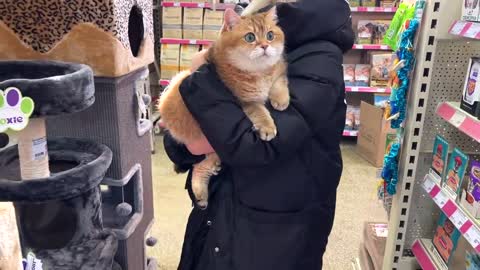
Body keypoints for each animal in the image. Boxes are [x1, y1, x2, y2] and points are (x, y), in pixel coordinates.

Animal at [158, 5, 286, 209]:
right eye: (250, 37)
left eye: (270, 35)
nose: (265, 46)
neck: (258, 71)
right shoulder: (244, 101)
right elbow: (260, 111)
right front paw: (267, 127)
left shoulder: (278, 71)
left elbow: (279, 83)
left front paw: (281, 100)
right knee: (199, 166)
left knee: (201, 166)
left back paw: (201, 194)